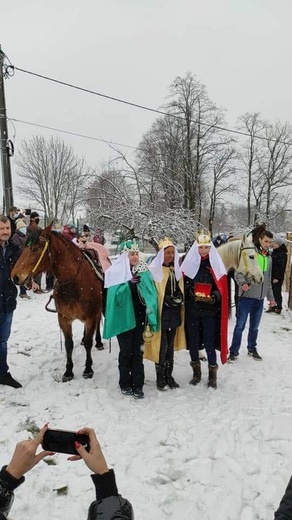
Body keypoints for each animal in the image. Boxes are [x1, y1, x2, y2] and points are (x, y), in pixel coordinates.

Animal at [11, 223, 102, 382]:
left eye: (35, 249)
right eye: (22, 248)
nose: (15, 277)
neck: (74, 283)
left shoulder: (90, 317)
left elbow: (88, 344)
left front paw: (88, 369)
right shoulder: (64, 318)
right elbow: (68, 345)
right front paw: (69, 371)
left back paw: (99, 342)